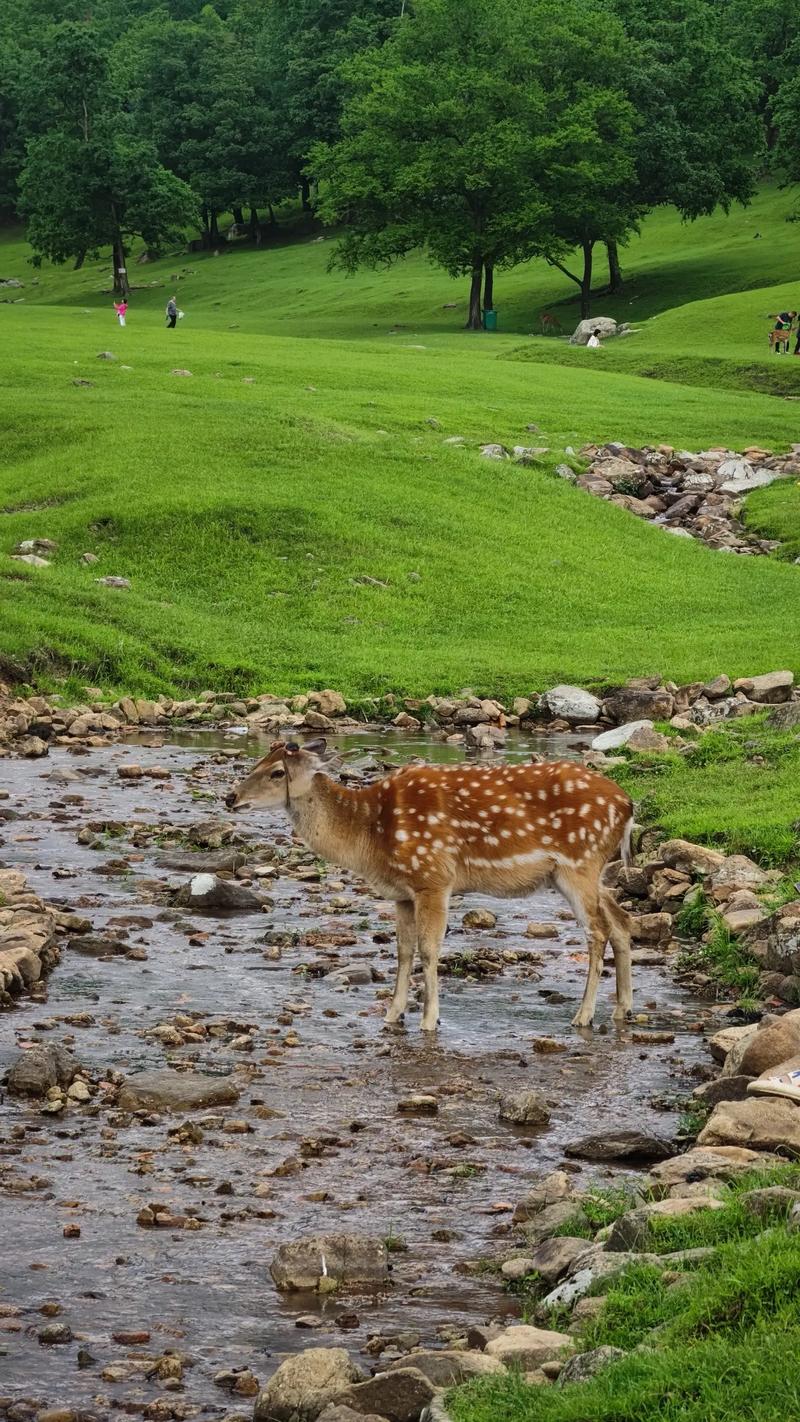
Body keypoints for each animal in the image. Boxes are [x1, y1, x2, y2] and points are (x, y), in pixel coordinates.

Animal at [228, 745, 636, 1035]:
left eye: (277, 772)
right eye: (259, 761)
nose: (231, 798)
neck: (369, 837)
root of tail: (628, 806)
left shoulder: (433, 878)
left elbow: (429, 948)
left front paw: (429, 1021)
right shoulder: (401, 893)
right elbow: (404, 950)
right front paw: (392, 1014)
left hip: (579, 863)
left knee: (597, 931)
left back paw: (583, 1015)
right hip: (584, 873)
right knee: (621, 919)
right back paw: (623, 1008)